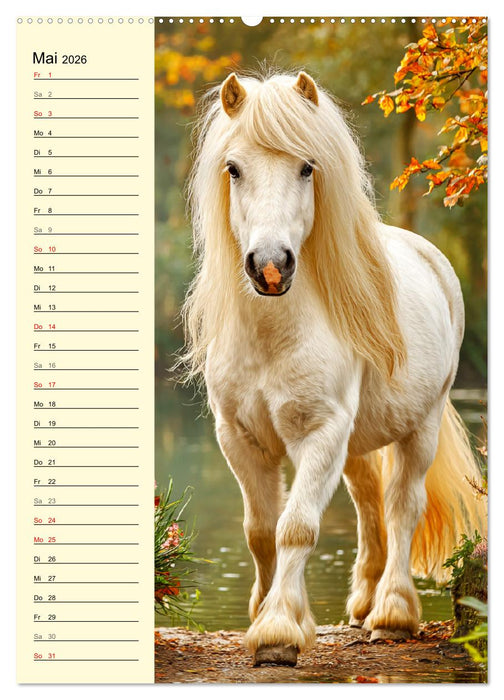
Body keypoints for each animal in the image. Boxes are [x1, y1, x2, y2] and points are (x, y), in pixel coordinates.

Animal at [181, 70, 486, 667]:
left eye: (307, 167)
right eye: (234, 168)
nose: (270, 267)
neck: (273, 335)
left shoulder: (319, 433)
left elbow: (296, 528)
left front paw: (278, 631)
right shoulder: (240, 439)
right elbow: (260, 531)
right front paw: (269, 614)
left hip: (420, 426)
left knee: (401, 507)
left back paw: (391, 615)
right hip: (359, 444)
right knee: (369, 510)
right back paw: (363, 606)